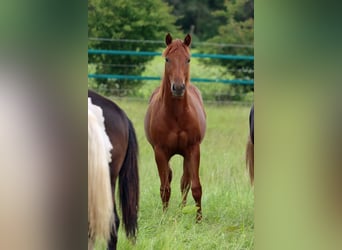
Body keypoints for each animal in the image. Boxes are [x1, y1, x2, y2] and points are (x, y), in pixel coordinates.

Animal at [144, 33, 206, 221]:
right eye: (167, 59)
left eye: (188, 59)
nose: (178, 88)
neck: (177, 115)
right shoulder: (160, 151)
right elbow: (165, 188)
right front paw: (164, 218)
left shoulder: (193, 149)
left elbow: (196, 187)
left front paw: (199, 220)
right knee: (171, 178)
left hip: (186, 154)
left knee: (185, 181)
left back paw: (183, 210)